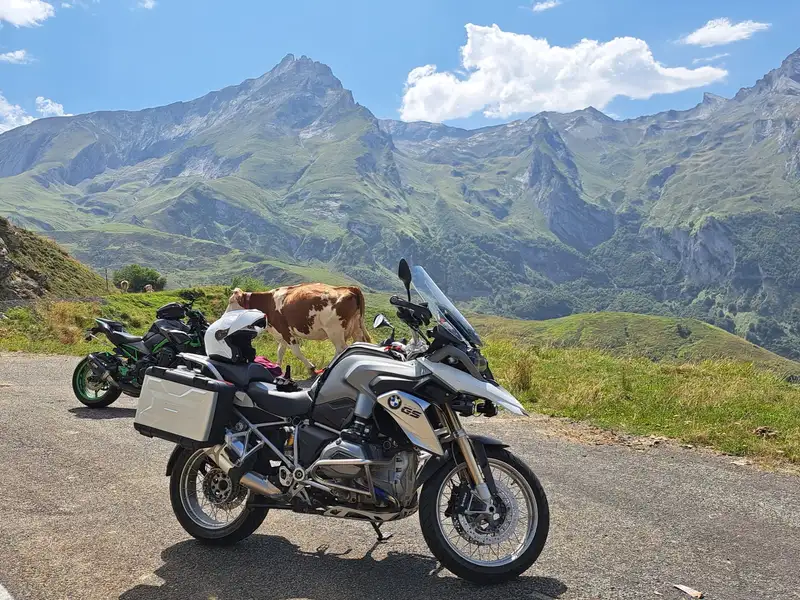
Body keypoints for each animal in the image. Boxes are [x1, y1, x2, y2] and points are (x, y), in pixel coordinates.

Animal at [225, 283, 371, 376]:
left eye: (231, 301)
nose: (224, 316)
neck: (269, 303)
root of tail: (349, 288)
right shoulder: (280, 333)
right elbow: (280, 351)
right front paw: (277, 368)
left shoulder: (285, 331)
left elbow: (296, 351)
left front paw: (311, 368)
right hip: (355, 327)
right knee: (356, 345)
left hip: (334, 330)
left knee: (341, 349)